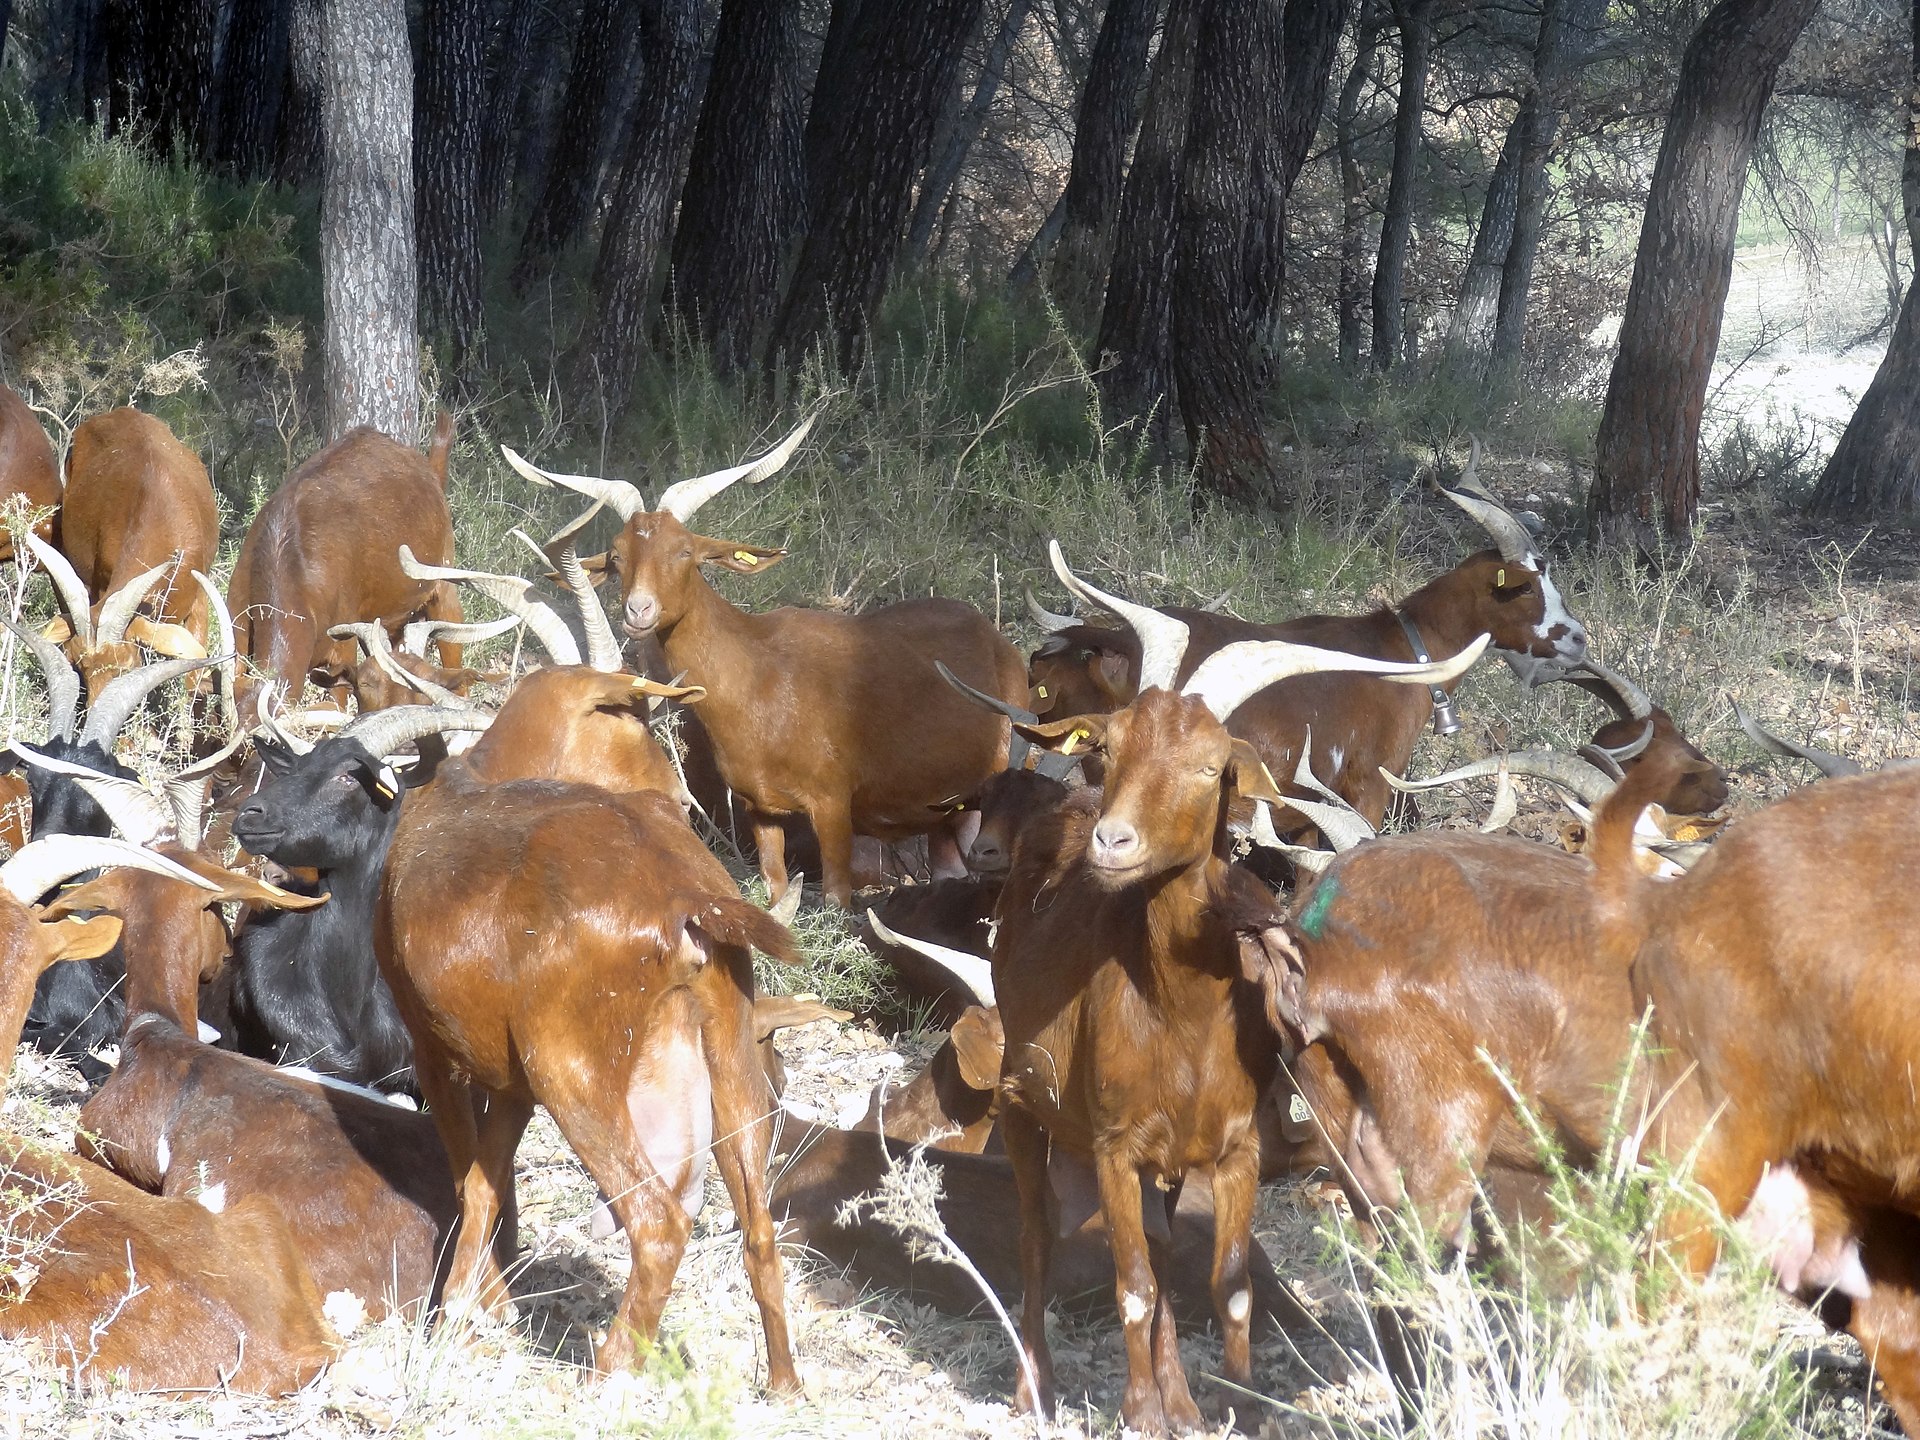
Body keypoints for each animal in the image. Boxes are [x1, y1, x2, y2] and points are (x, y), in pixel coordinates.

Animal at [503, 411, 1029, 907]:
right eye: (616, 555)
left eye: (686, 551)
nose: (639, 610)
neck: (760, 676)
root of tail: (996, 639)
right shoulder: (761, 809)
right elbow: (776, 888)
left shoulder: (832, 805)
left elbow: (837, 898)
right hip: (942, 814)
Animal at [982, 545, 1485, 1433]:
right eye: (1113, 743)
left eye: (1212, 767)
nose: (1113, 842)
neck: (1178, 1016)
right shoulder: (1113, 1145)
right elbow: (1133, 1285)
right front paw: (1141, 1412)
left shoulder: (1237, 1151)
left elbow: (1231, 1289)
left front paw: (1234, 1406)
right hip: (1022, 1098)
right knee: (1040, 1238)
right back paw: (1034, 1386)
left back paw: (1183, 1397)